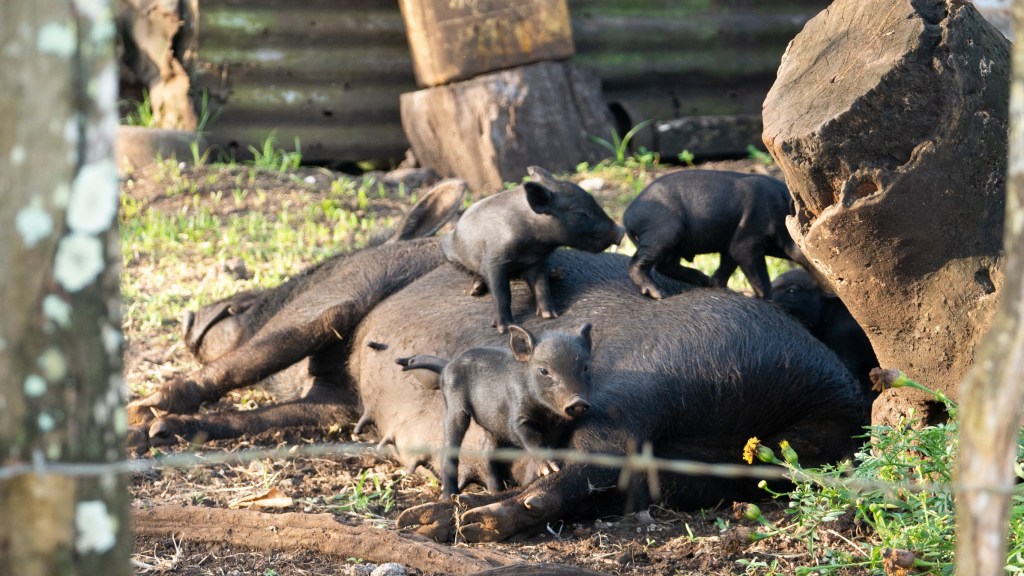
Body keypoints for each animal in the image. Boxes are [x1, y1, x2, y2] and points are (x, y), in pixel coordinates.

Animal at [396, 323, 593, 499]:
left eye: (585, 367)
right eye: (544, 370)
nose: (577, 401)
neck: (548, 416)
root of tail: (448, 364)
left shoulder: (557, 431)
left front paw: (544, 473)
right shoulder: (518, 415)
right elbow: (528, 437)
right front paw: (549, 468)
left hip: (491, 428)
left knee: (486, 452)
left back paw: (496, 492)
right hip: (454, 404)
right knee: (451, 446)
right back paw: (449, 497)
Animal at [441, 165, 624, 332]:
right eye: (580, 213)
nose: (621, 231)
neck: (532, 244)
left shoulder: (536, 261)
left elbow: (541, 286)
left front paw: (551, 315)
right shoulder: (494, 260)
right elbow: (502, 293)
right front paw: (504, 328)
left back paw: (558, 273)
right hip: (448, 251)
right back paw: (474, 291)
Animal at [623, 169, 813, 299]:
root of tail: (627, 216)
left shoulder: (731, 243)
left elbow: (726, 265)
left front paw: (716, 286)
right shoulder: (748, 240)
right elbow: (758, 275)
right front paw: (765, 298)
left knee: (665, 264)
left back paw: (702, 279)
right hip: (664, 232)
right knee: (640, 262)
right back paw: (660, 294)